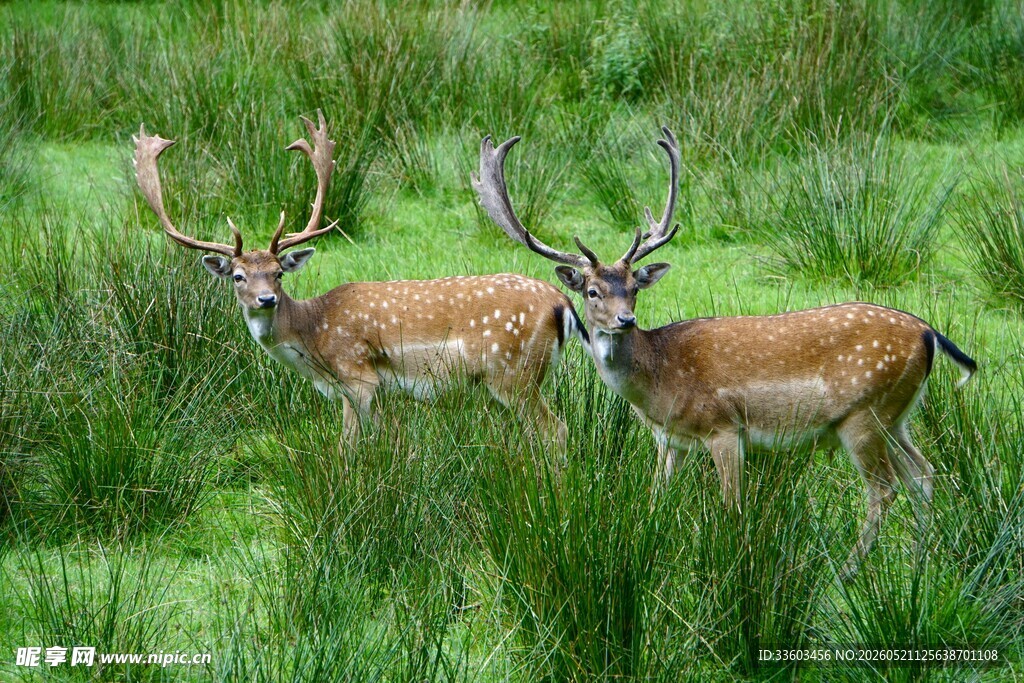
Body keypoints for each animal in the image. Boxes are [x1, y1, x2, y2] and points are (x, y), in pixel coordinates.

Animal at [133, 111, 588, 454]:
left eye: (278, 273)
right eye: (239, 276)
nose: (265, 300)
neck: (314, 342)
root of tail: (563, 304)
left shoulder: (358, 378)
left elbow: (348, 448)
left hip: (514, 373)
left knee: (557, 430)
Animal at [473, 127, 977, 574]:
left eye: (634, 288)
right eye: (593, 291)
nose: (625, 321)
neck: (659, 383)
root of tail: (930, 334)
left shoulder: (724, 428)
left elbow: (732, 507)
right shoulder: (670, 441)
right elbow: (655, 501)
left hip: (863, 414)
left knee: (885, 490)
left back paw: (846, 573)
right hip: (897, 416)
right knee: (925, 475)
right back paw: (918, 566)